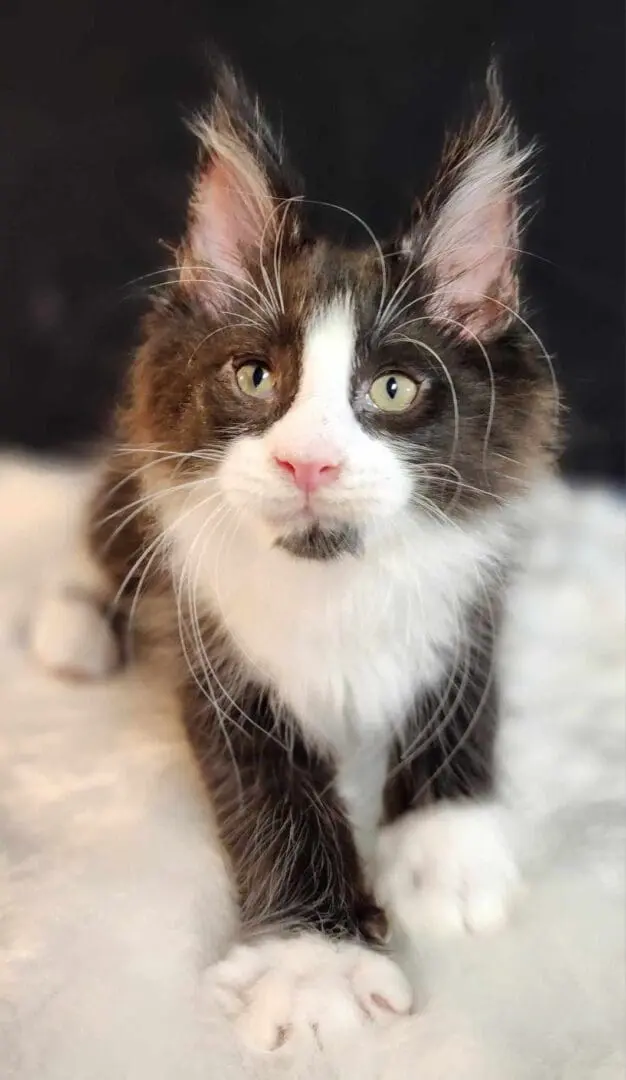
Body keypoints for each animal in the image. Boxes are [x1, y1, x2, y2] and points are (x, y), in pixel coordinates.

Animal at [31, 67, 556, 1054]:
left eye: (392, 389)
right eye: (255, 377)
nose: (307, 462)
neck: (332, 581)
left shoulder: (474, 581)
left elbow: (462, 699)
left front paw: (446, 854)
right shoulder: (213, 646)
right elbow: (277, 801)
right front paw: (315, 970)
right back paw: (73, 625)